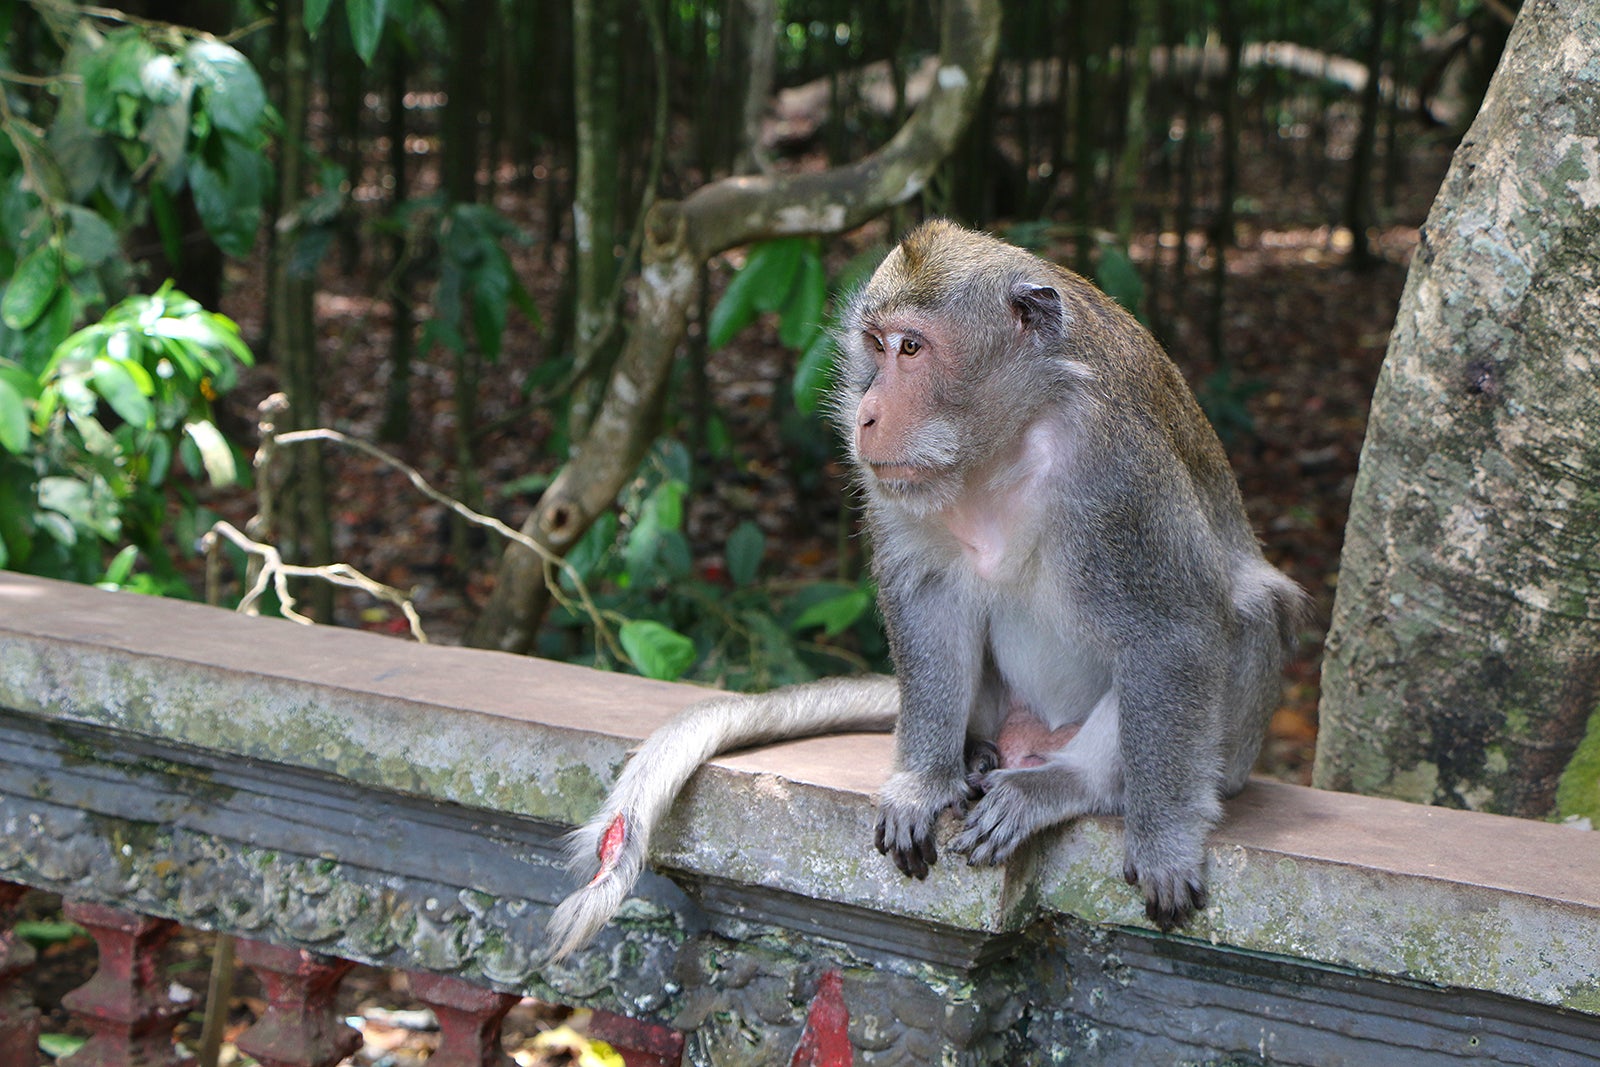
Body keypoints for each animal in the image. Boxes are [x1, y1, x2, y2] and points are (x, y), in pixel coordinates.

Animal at [544, 220, 1305, 966]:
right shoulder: (896, 484)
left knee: (1246, 615)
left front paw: (1164, 839)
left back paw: (1069, 784)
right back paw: (973, 754)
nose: (867, 413)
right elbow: (929, 598)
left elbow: (1171, 629)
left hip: (1225, 746)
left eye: (912, 348)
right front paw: (923, 782)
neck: (1008, 440)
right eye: (876, 346)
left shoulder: (1118, 470)